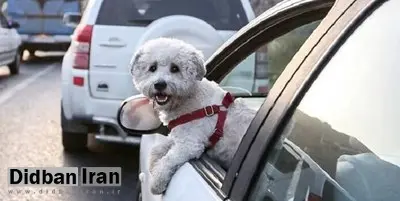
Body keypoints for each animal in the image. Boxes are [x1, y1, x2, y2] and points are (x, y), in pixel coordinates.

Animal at [130, 37, 258, 195]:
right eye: (152, 68)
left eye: (175, 68)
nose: (160, 84)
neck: (189, 98)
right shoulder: (180, 134)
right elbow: (158, 149)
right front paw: (153, 163)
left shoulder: (190, 144)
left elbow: (168, 160)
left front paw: (156, 183)